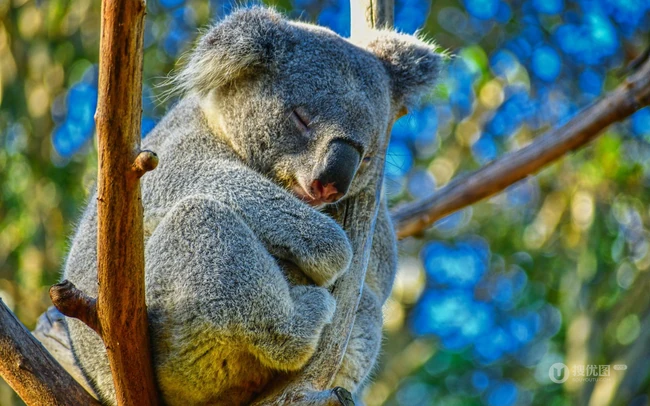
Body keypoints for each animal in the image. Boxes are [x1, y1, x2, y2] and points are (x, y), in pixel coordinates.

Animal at [62, 6, 443, 405]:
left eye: (368, 155)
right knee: (204, 220)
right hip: (168, 316)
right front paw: (333, 251)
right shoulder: (158, 156)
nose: (330, 184)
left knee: (365, 305)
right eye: (301, 118)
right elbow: (182, 178)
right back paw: (304, 316)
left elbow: (380, 271)